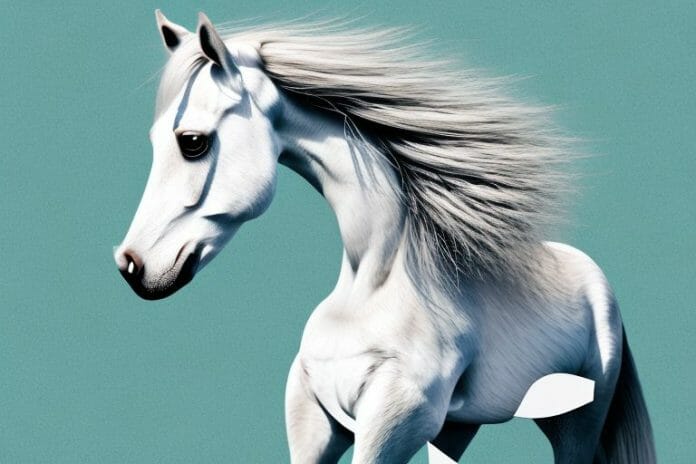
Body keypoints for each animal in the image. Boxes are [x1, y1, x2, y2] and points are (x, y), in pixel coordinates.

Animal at [114, 11, 656, 463]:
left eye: (192, 142)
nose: (132, 265)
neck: (376, 281)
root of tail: (590, 272)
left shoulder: (393, 424)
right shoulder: (316, 420)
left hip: (575, 419)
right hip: (457, 427)